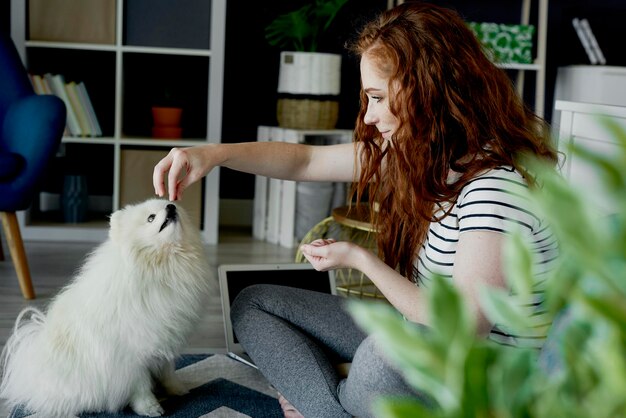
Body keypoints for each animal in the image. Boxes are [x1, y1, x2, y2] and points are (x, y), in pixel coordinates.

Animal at [0, 198, 213, 414]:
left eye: (170, 205)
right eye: (151, 218)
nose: (171, 206)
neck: (162, 265)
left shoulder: (165, 338)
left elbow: (168, 372)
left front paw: (177, 389)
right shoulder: (130, 356)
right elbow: (140, 385)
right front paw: (150, 407)